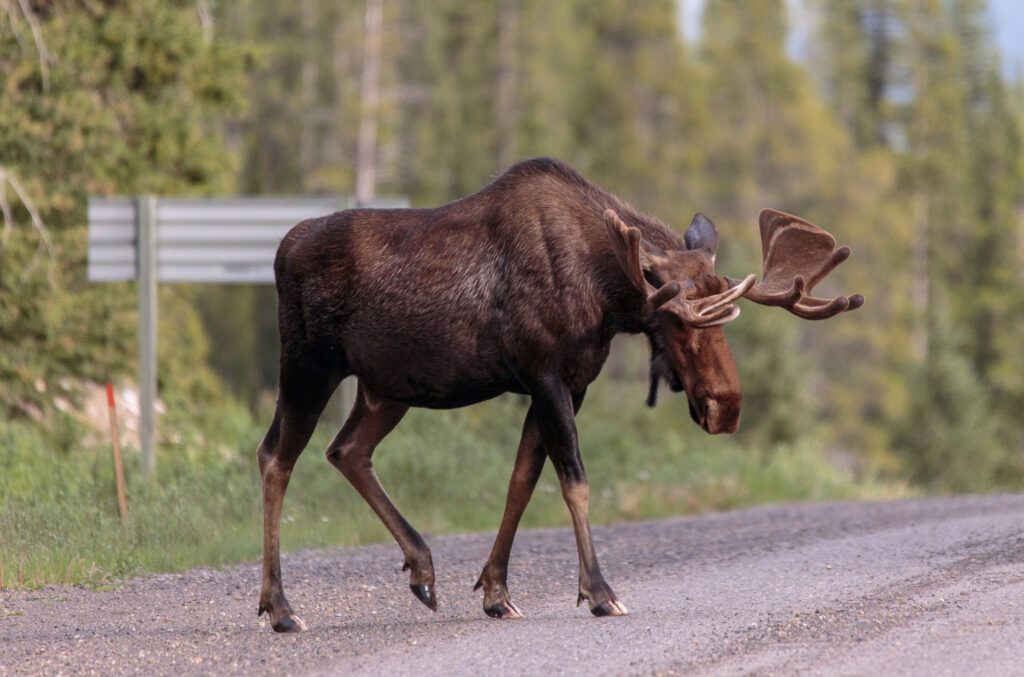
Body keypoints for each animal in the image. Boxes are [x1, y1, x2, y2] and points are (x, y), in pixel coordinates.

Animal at [256, 155, 864, 630]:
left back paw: (422, 569)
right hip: (308, 364)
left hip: (386, 388)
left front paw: (496, 592)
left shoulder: (570, 382)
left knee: (346, 450)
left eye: (725, 324)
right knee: (276, 458)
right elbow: (574, 480)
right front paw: (599, 591)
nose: (727, 407)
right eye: (679, 322)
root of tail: (281, 251)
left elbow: (522, 481)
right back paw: (281, 607)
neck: (608, 295)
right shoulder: (545, 373)